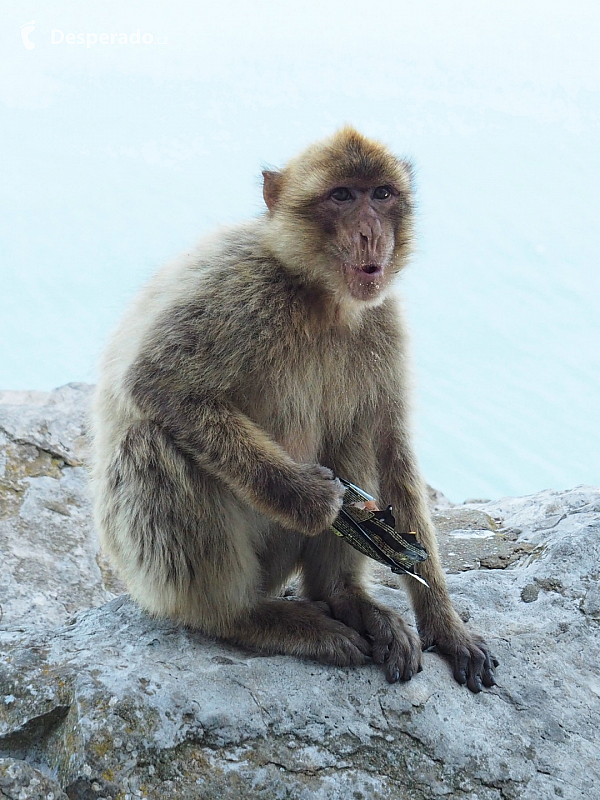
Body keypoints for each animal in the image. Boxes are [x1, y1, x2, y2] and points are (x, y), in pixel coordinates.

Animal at [91, 126, 496, 692]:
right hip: (156, 569)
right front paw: (311, 498)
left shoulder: (385, 322)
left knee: (353, 432)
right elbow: (158, 386)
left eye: (382, 195)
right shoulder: (237, 289)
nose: (370, 234)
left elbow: (389, 444)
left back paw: (344, 597)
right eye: (342, 196)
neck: (321, 297)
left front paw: (446, 625)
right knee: (152, 439)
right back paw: (245, 618)